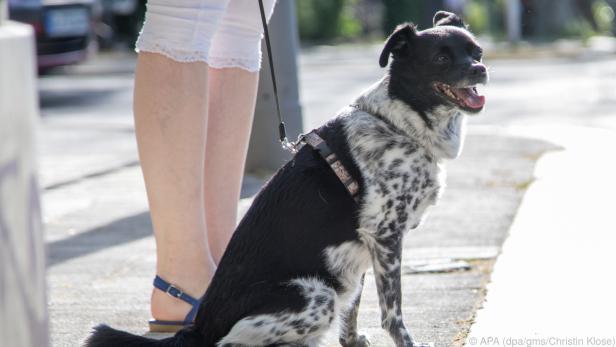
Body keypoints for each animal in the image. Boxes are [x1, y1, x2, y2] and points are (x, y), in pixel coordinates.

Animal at [86, 10, 488, 347]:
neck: (402, 122)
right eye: (441, 58)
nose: (481, 69)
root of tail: (197, 329)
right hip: (316, 294)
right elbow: (393, 314)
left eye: (477, 51)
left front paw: (352, 342)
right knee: (233, 343)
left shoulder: (359, 250)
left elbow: (355, 308)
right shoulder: (385, 236)